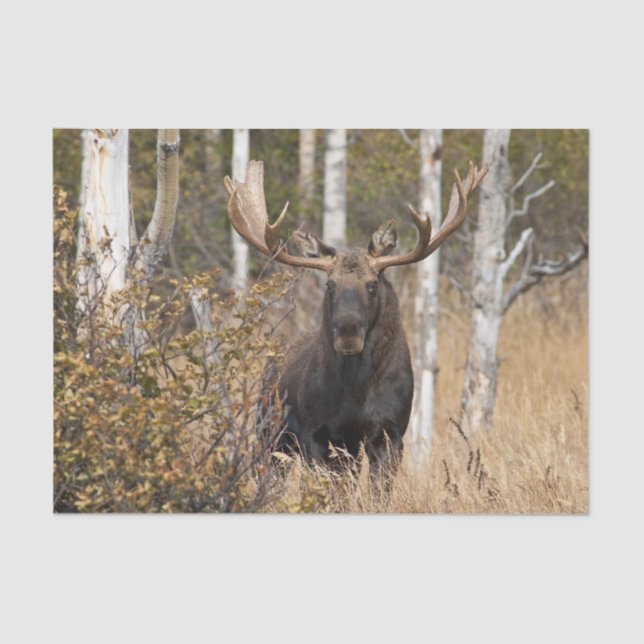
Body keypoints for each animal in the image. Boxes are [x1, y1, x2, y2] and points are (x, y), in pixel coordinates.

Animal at [224, 160, 487, 493]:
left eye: (372, 284)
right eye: (330, 284)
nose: (348, 334)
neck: (357, 391)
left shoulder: (391, 432)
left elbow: (377, 493)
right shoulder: (319, 434)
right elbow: (335, 494)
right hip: (269, 431)